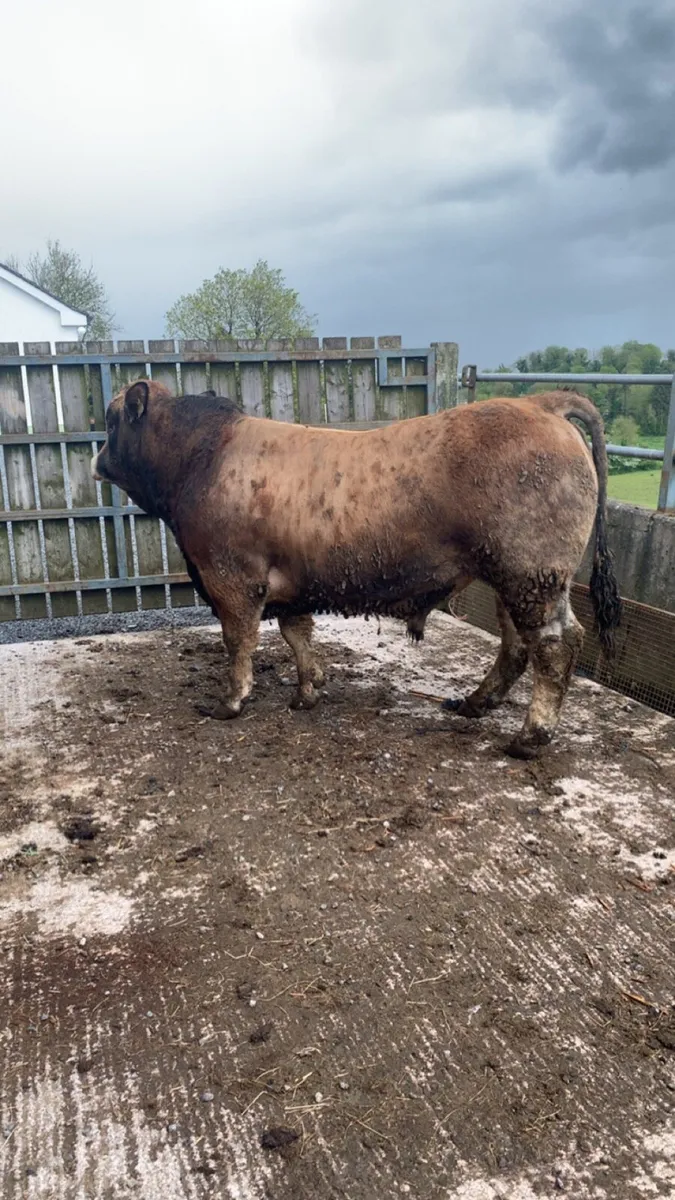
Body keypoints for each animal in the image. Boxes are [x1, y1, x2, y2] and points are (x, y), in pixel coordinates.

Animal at [92, 380, 620, 758]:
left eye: (111, 420)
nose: (96, 460)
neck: (205, 457)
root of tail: (540, 403)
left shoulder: (231, 580)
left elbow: (238, 642)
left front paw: (231, 701)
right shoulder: (291, 583)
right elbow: (297, 633)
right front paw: (308, 690)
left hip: (533, 573)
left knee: (554, 646)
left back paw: (529, 737)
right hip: (514, 577)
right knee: (516, 644)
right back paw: (474, 704)